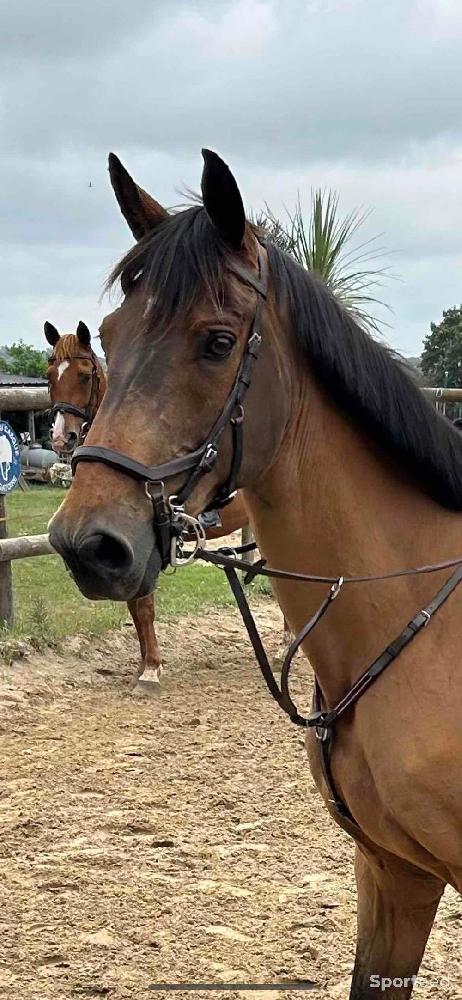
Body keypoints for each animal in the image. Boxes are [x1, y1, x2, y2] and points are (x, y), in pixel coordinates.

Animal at [44, 320, 249, 688]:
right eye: (50, 376)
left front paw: (152, 668)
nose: (60, 437)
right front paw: (144, 663)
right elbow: (134, 606)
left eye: (84, 376)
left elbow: (143, 606)